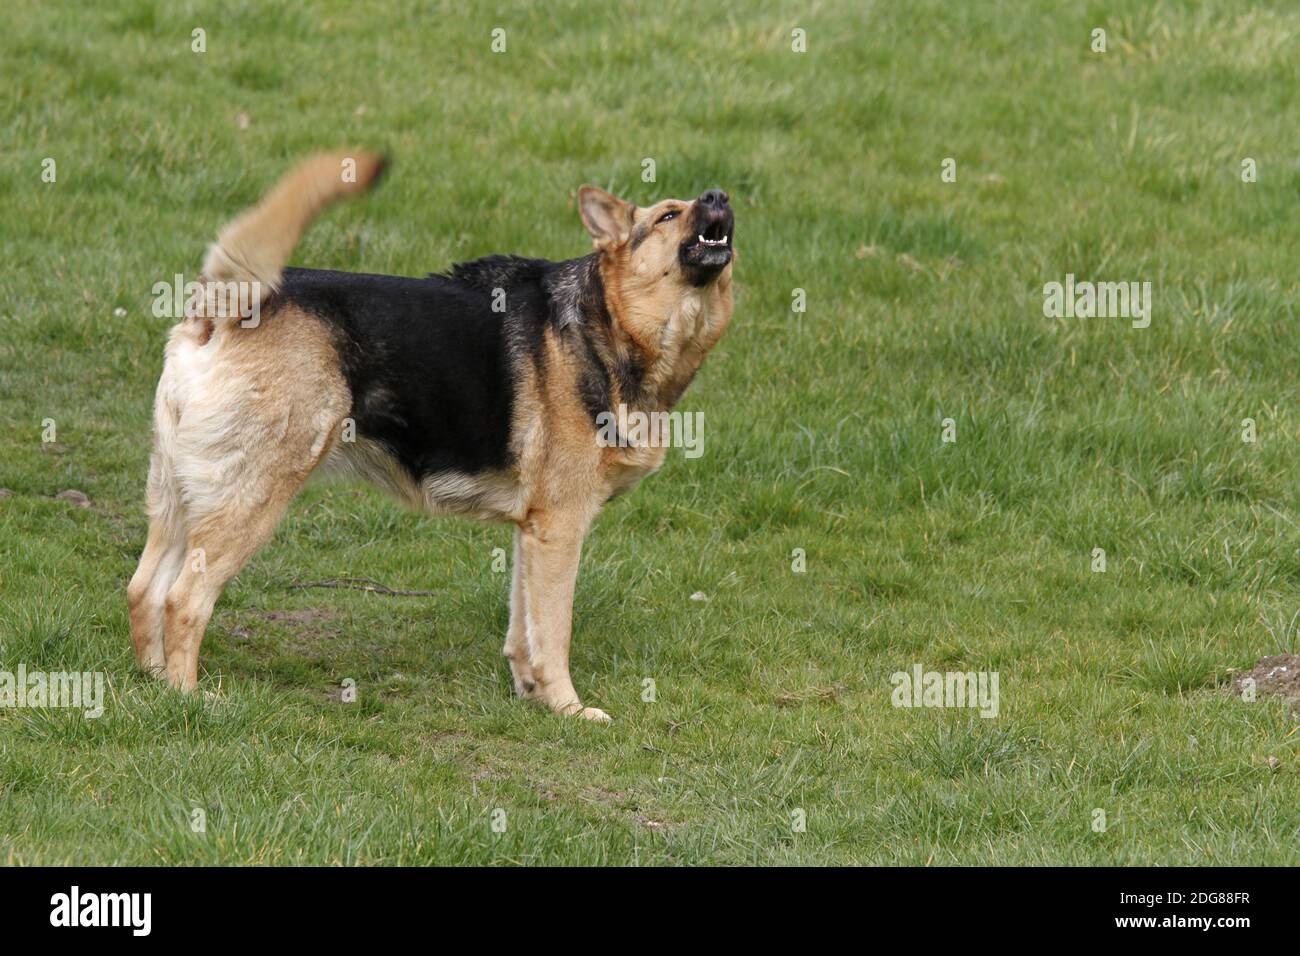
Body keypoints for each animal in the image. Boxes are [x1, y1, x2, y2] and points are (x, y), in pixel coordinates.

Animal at [126, 149, 738, 723]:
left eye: (699, 203)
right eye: (667, 216)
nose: (719, 195)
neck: (610, 321)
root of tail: (223, 308)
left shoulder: (531, 530)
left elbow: (523, 630)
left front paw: (533, 696)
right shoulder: (561, 528)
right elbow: (553, 633)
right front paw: (568, 709)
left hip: (181, 500)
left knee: (144, 589)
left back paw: (156, 689)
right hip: (250, 501)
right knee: (183, 600)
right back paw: (191, 700)